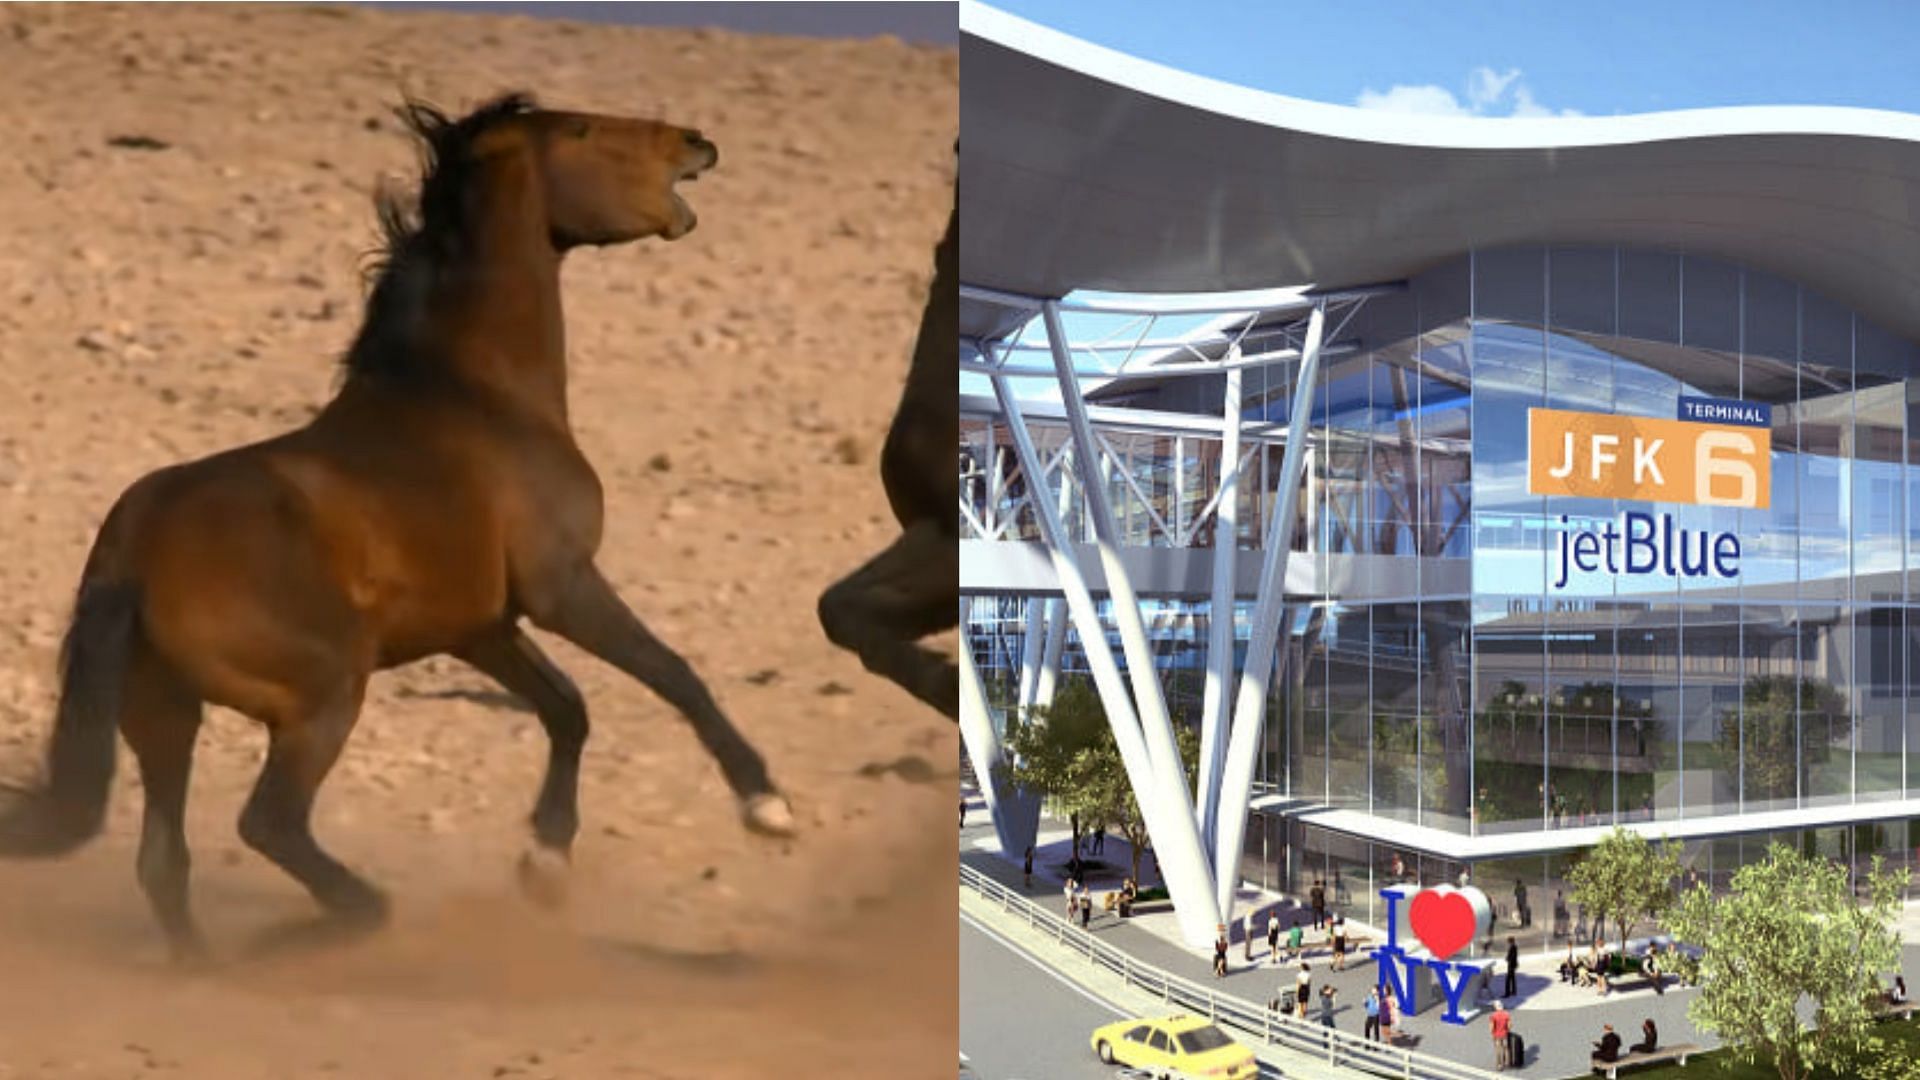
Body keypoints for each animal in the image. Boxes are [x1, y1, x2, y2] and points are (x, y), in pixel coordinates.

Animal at [0, 88, 794, 953]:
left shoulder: (478, 626)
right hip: (322, 695)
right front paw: (767, 807)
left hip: (163, 718)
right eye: (583, 130)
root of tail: (135, 550)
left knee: (164, 860)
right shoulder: (562, 586)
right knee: (269, 824)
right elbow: (673, 673)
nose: (697, 142)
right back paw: (339, 922)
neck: (478, 396)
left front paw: (545, 864)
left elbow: (566, 709)